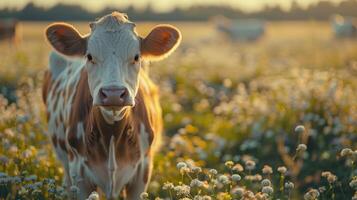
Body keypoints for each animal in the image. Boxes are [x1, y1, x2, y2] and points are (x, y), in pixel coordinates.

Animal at [42, 11, 181, 199]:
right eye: (89, 56)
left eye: (136, 57)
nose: (113, 93)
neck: (112, 135)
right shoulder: (79, 173)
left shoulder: (142, 172)